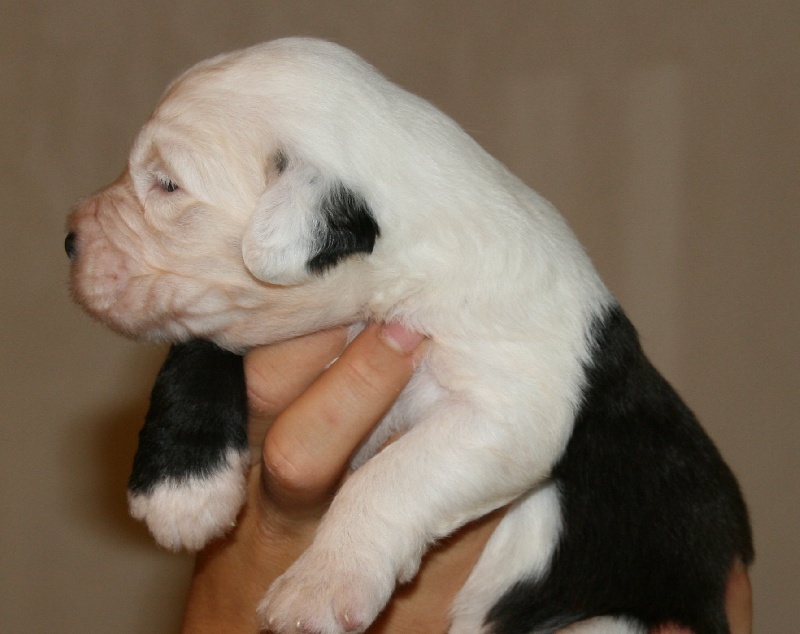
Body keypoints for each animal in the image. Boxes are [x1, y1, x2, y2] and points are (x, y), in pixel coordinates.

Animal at [66, 38, 752, 633]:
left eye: (168, 184)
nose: (68, 240)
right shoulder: (219, 314)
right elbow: (195, 348)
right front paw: (181, 487)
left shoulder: (506, 412)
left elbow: (390, 476)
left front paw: (319, 584)